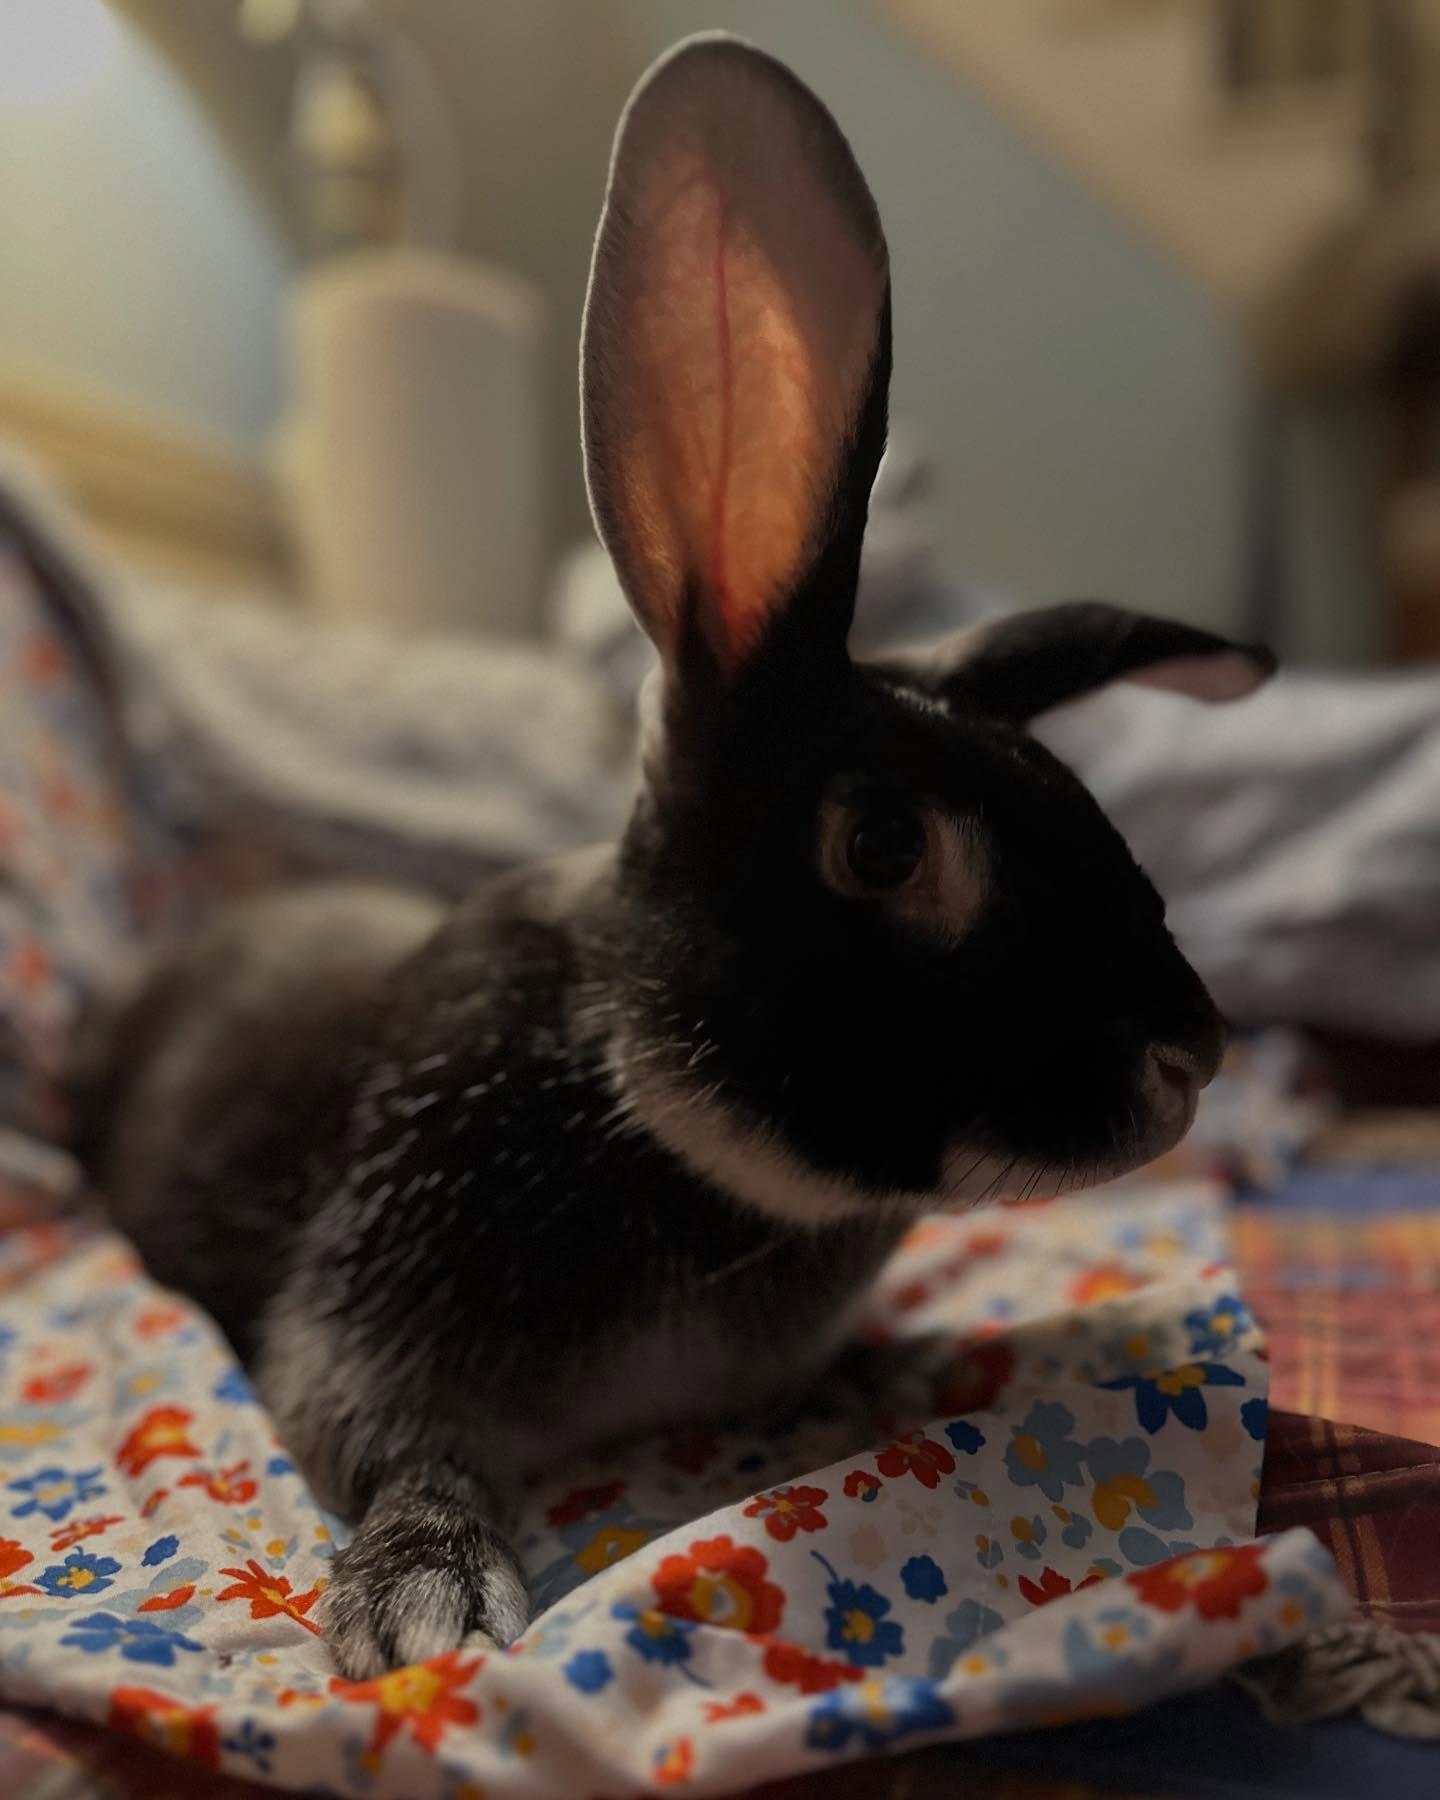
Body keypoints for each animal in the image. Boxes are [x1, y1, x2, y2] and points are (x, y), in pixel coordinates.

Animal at [79, 33, 1275, 1680]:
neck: (642, 1091)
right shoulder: (364, 1300)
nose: (1195, 1056)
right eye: (883, 846)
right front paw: (425, 1603)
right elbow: (400, 1448)